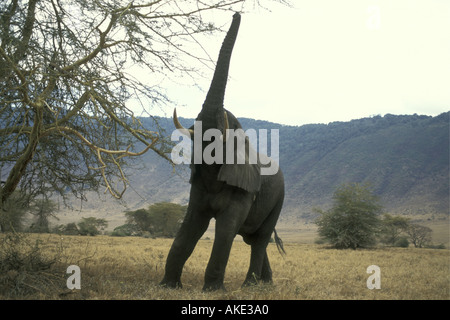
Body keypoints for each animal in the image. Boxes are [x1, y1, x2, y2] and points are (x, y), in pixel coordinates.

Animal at [159, 13, 284, 292]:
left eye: (224, 124)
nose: (237, 14)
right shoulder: (198, 187)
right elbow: (191, 225)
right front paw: (168, 286)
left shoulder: (243, 188)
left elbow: (226, 229)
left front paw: (213, 290)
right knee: (251, 237)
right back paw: (265, 284)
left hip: (279, 198)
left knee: (260, 238)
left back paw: (250, 286)